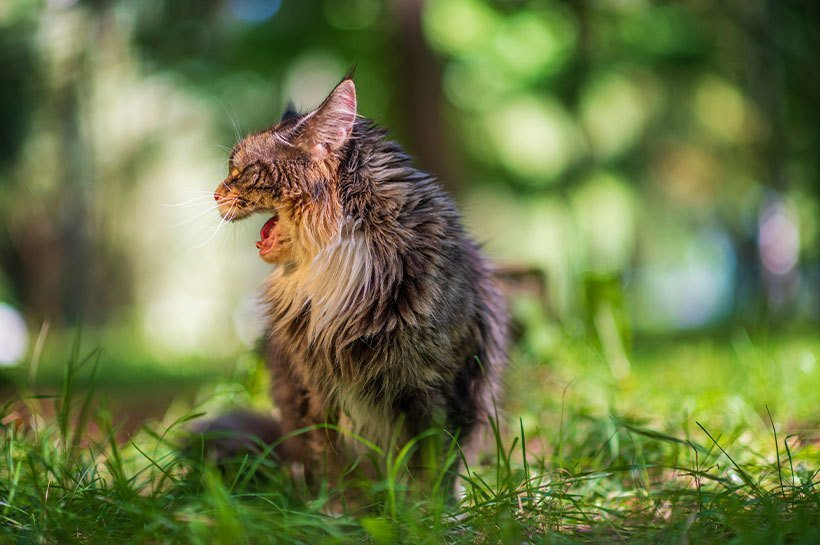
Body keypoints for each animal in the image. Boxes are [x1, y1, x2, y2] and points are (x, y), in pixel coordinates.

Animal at [201, 74, 506, 496]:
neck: (338, 266)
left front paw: (423, 511)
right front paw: (339, 511)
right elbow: (336, 470)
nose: (214, 193)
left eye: (241, 169)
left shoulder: (437, 387)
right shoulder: (315, 391)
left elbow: (431, 469)